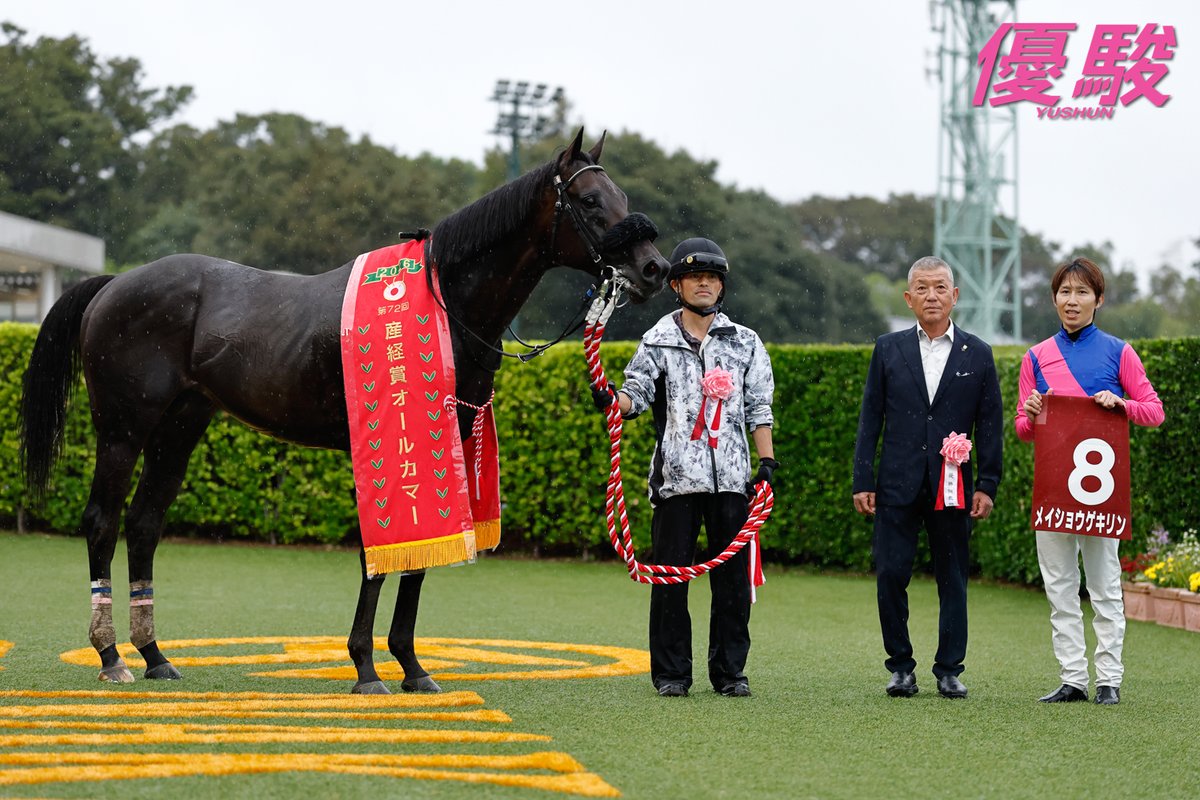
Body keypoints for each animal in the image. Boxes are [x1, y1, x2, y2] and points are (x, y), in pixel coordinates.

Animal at [19, 128, 668, 693]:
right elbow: (373, 552)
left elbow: (417, 556)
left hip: (179, 429)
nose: (653, 268)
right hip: (123, 430)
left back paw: (155, 656)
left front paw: (412, 667)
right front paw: (366, 666)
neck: (444, 300)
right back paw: (110, 657)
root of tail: (113, 285)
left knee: (143, 524)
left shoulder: (439, 440)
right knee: (102, 520)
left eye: (623, 198)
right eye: (589, 200)